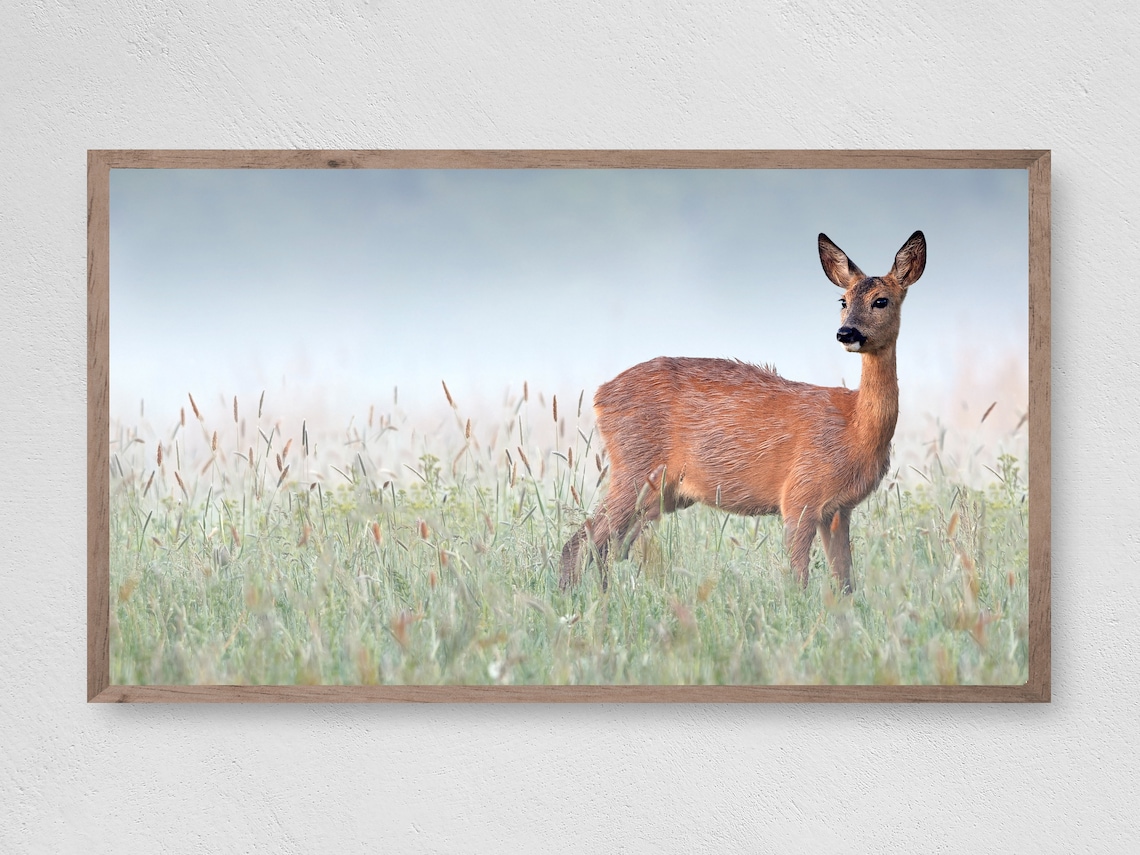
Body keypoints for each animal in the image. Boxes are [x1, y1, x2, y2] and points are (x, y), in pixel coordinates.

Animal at [558, 230, 927, 595]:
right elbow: (799, 578)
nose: (846, 333)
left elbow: (845, 583)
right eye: (843, 301)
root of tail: (599, 395)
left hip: (659, 493)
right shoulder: (799, 493)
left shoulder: (839, 509)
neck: (855, 427)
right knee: (580, 543)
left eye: (881, 300)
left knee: (604, 549)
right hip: (635, 469)